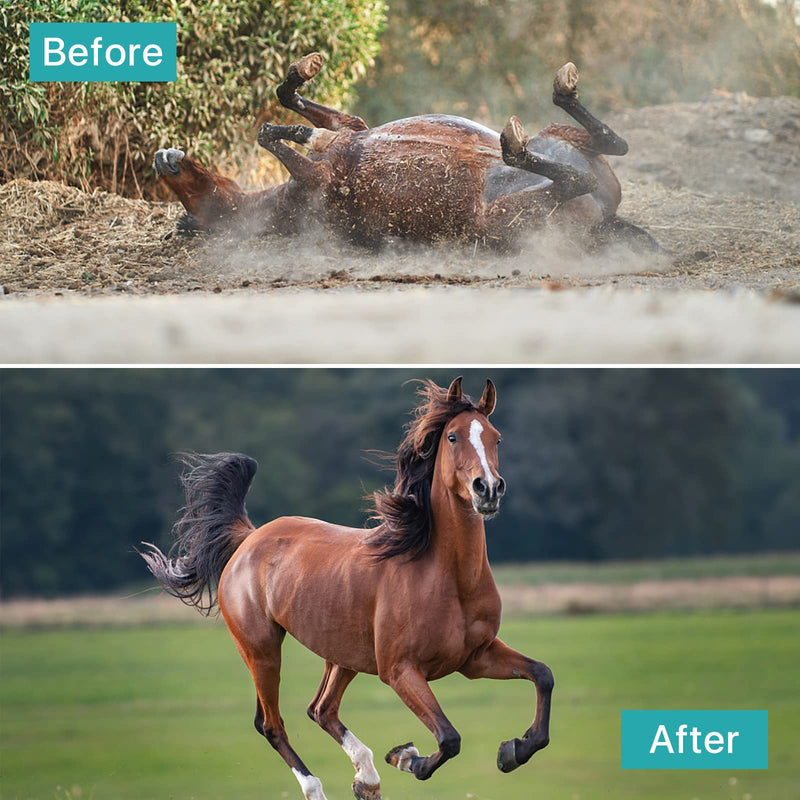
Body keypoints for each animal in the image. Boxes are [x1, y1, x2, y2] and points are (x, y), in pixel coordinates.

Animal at [141, 377, 553, 800]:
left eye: (496, 437)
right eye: (453, 436)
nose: (488, 489)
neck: (447, 576)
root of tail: (249, 539)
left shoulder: (475, 658)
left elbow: (542, 675)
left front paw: (513, 750)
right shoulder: (400, 671)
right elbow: (449, 738)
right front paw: (407, 758)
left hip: (342, 655)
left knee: (321, 709)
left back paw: (366, 779)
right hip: (262, 650)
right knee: (272, 723)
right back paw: (321, 787)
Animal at [153, 52, 654, 250]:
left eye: (189, 193)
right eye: (194, 206)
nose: (161, 158)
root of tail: (606, 220)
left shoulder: (351, 127)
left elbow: (290, 101)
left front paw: (302, 76)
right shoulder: (319, 181)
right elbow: (273, 135)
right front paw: (303, 135)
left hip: (563, 139)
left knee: (613, 143)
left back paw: (558, 93)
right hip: (505, 217)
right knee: (576, 175)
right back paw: (514, 144)